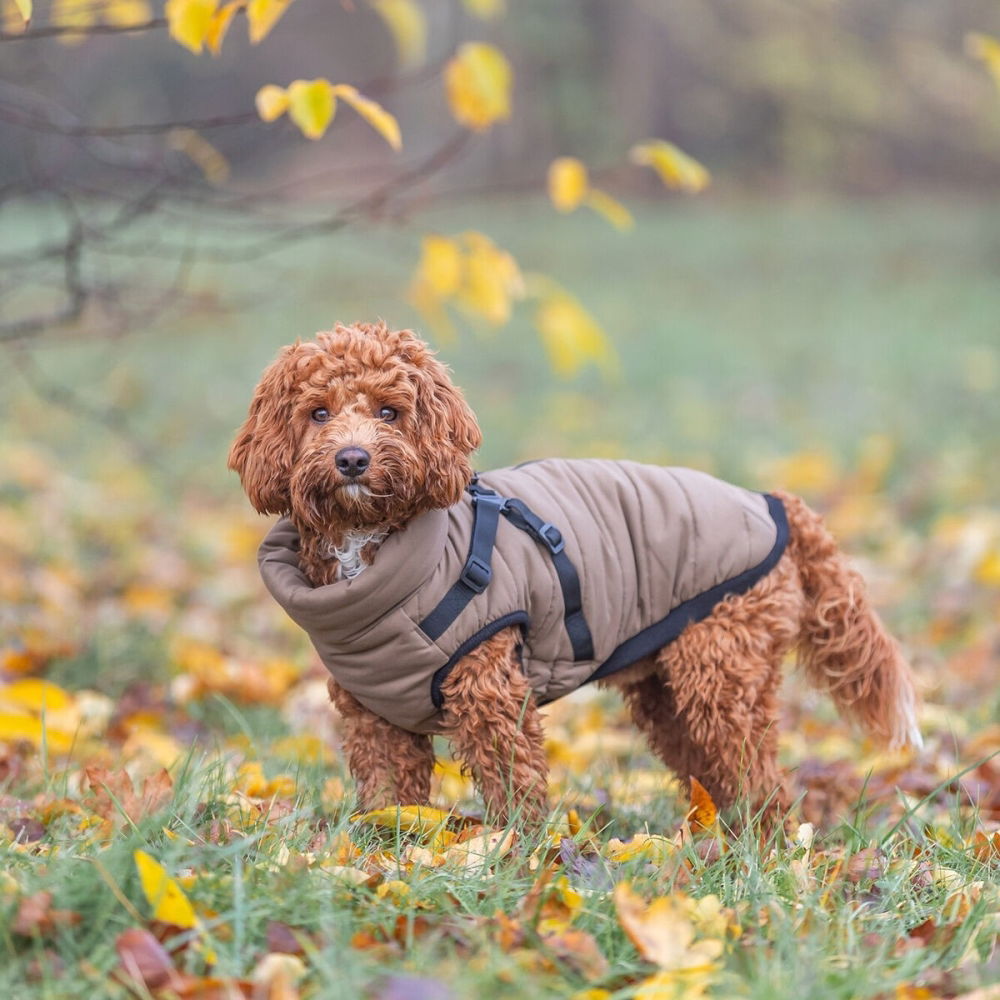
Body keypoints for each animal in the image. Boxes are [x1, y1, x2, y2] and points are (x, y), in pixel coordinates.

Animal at [229, 320, 920, 828]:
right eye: (318, 413)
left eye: (389, 412)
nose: (352, 459)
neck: (385, 556)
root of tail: (772, 502)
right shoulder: (374, 715)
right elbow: (387, 796)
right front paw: (385, 851)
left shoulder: (490, 693)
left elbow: (515, 784)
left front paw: (516, 856)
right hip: (669, 693)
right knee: (717, 773)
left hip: (722, 674)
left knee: (761, 779)